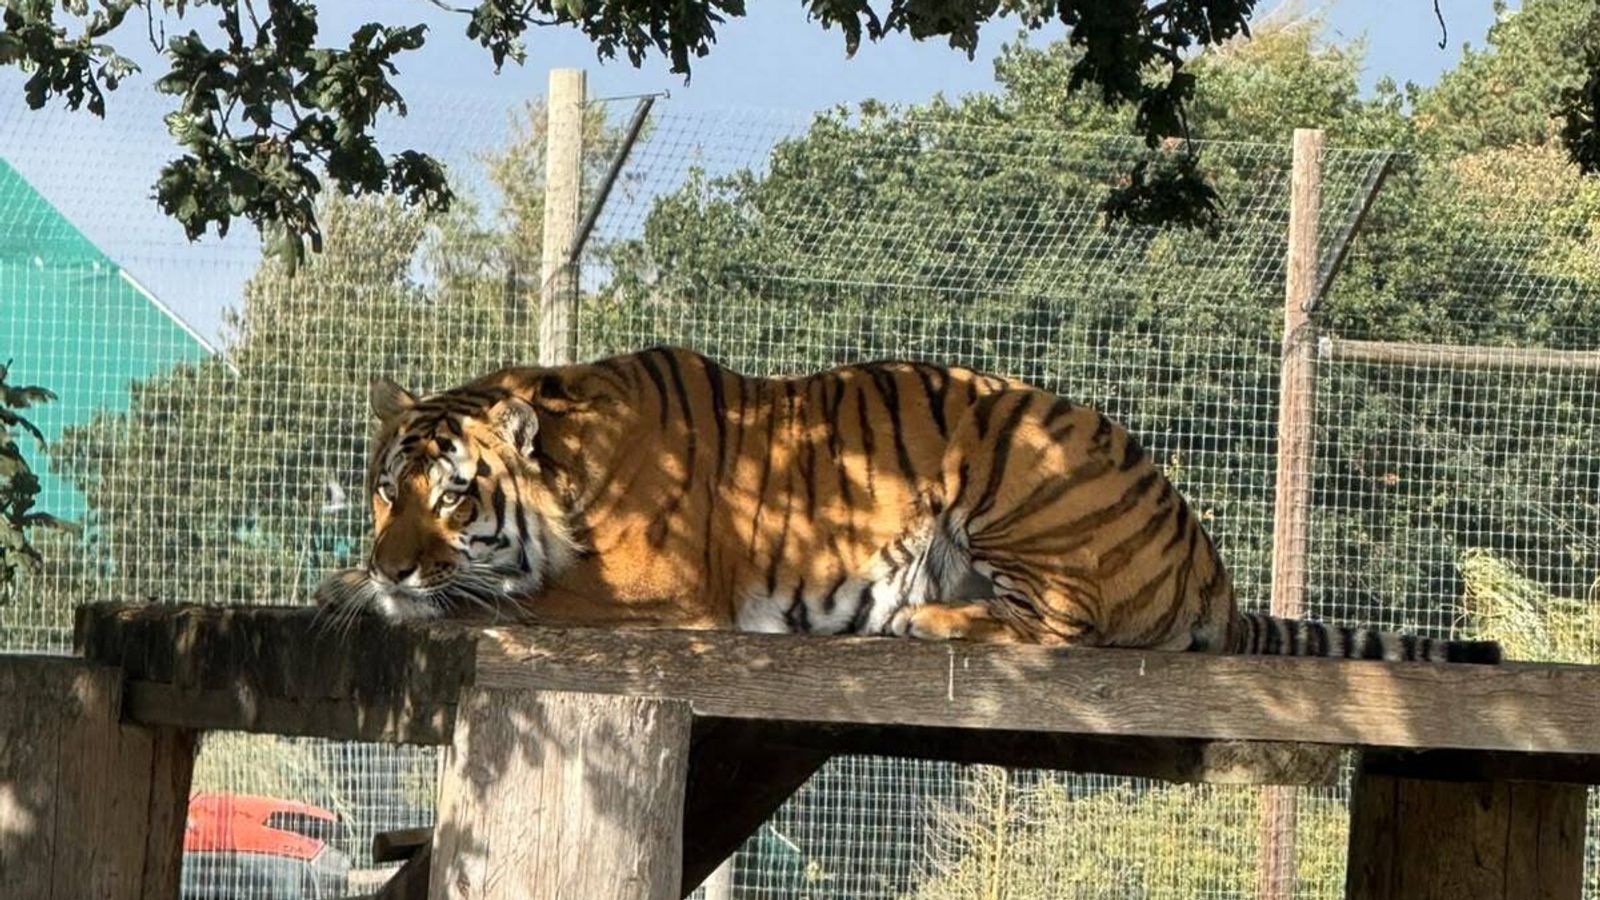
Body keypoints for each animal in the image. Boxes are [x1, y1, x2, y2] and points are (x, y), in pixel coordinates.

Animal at [314, 345, 1501, 664]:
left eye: (453, 497)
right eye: (382, 494)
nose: (391, 562)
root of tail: (1211, 566)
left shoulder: (652, 593)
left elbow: (511, 600)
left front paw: (390, 599)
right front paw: (344, 584)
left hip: (1020, 476)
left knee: (1065, 628)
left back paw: (922, 616)